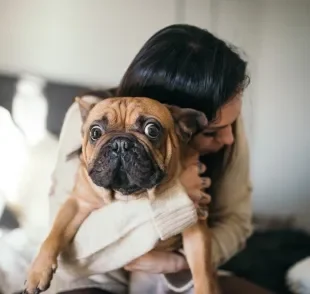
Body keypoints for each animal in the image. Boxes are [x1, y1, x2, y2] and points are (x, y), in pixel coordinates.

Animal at [24, 96, 217, 294]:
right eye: (95, 132)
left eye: (152, 130)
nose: (121, 144)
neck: (128, 195)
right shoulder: (77, 203)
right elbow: (54, 235)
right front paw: (38, 272)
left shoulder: (195, 224)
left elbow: (202, 271)